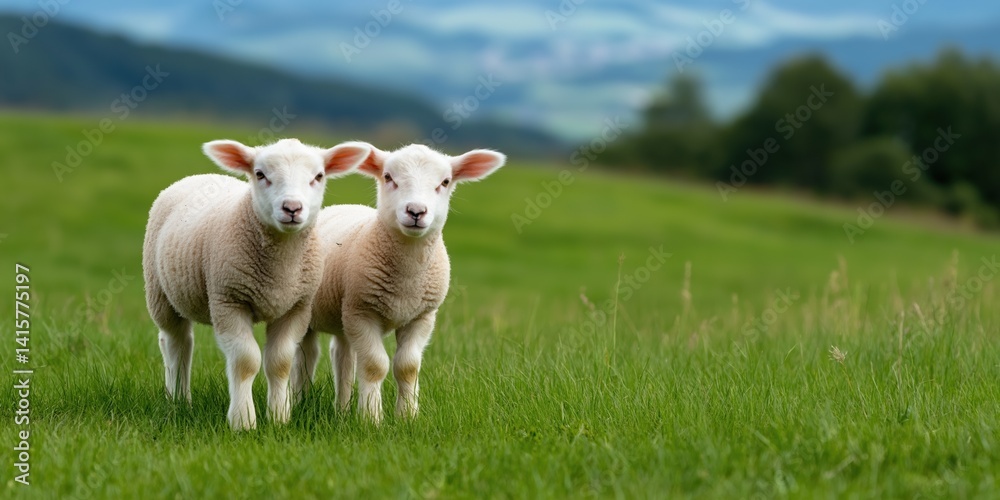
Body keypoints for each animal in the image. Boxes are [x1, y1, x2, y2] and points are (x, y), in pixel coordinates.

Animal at [142, 138, 371, 430]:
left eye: (318, 176)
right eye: (260, 174)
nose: (292, 208)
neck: (280, 271)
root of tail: (200, 175)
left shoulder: (296, 307)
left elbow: (280, 363)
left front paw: (279, 418)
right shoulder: (229, 300)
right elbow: (245, 361)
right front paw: (243, 422)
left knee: (185, 344)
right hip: (160, 292)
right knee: (174, 343)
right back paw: (177, 400)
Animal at [290, 143, 506, 423]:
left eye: (445, 182)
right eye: (388, 177)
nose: (416, 211)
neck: (407, 282)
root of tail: (340, 206)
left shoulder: (422, 317)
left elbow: (408, 367)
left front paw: (408, 417)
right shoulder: (362, 312)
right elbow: (374, 365)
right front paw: (371, 418)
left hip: (343, 314)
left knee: (342, 356)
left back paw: (342, 410)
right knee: (306, 356)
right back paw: (301, 402)